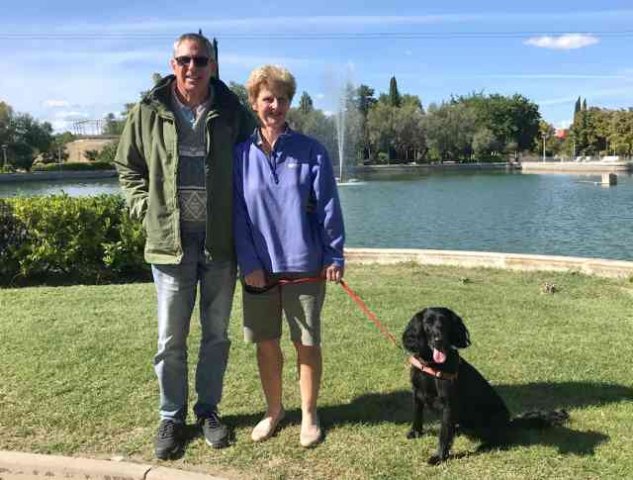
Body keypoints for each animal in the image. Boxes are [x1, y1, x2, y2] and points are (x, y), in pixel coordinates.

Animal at [402, 308, 572, 464]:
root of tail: (509, 422)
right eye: (427, 322)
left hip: (493, 418)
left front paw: (439, 457)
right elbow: (418, 415)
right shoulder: (417, 393)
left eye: (444, 322)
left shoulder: (447, 404)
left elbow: (444, 434)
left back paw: (485, 445)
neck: (431, 365)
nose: (439, 340)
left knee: (500, 439)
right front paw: (415, 432)